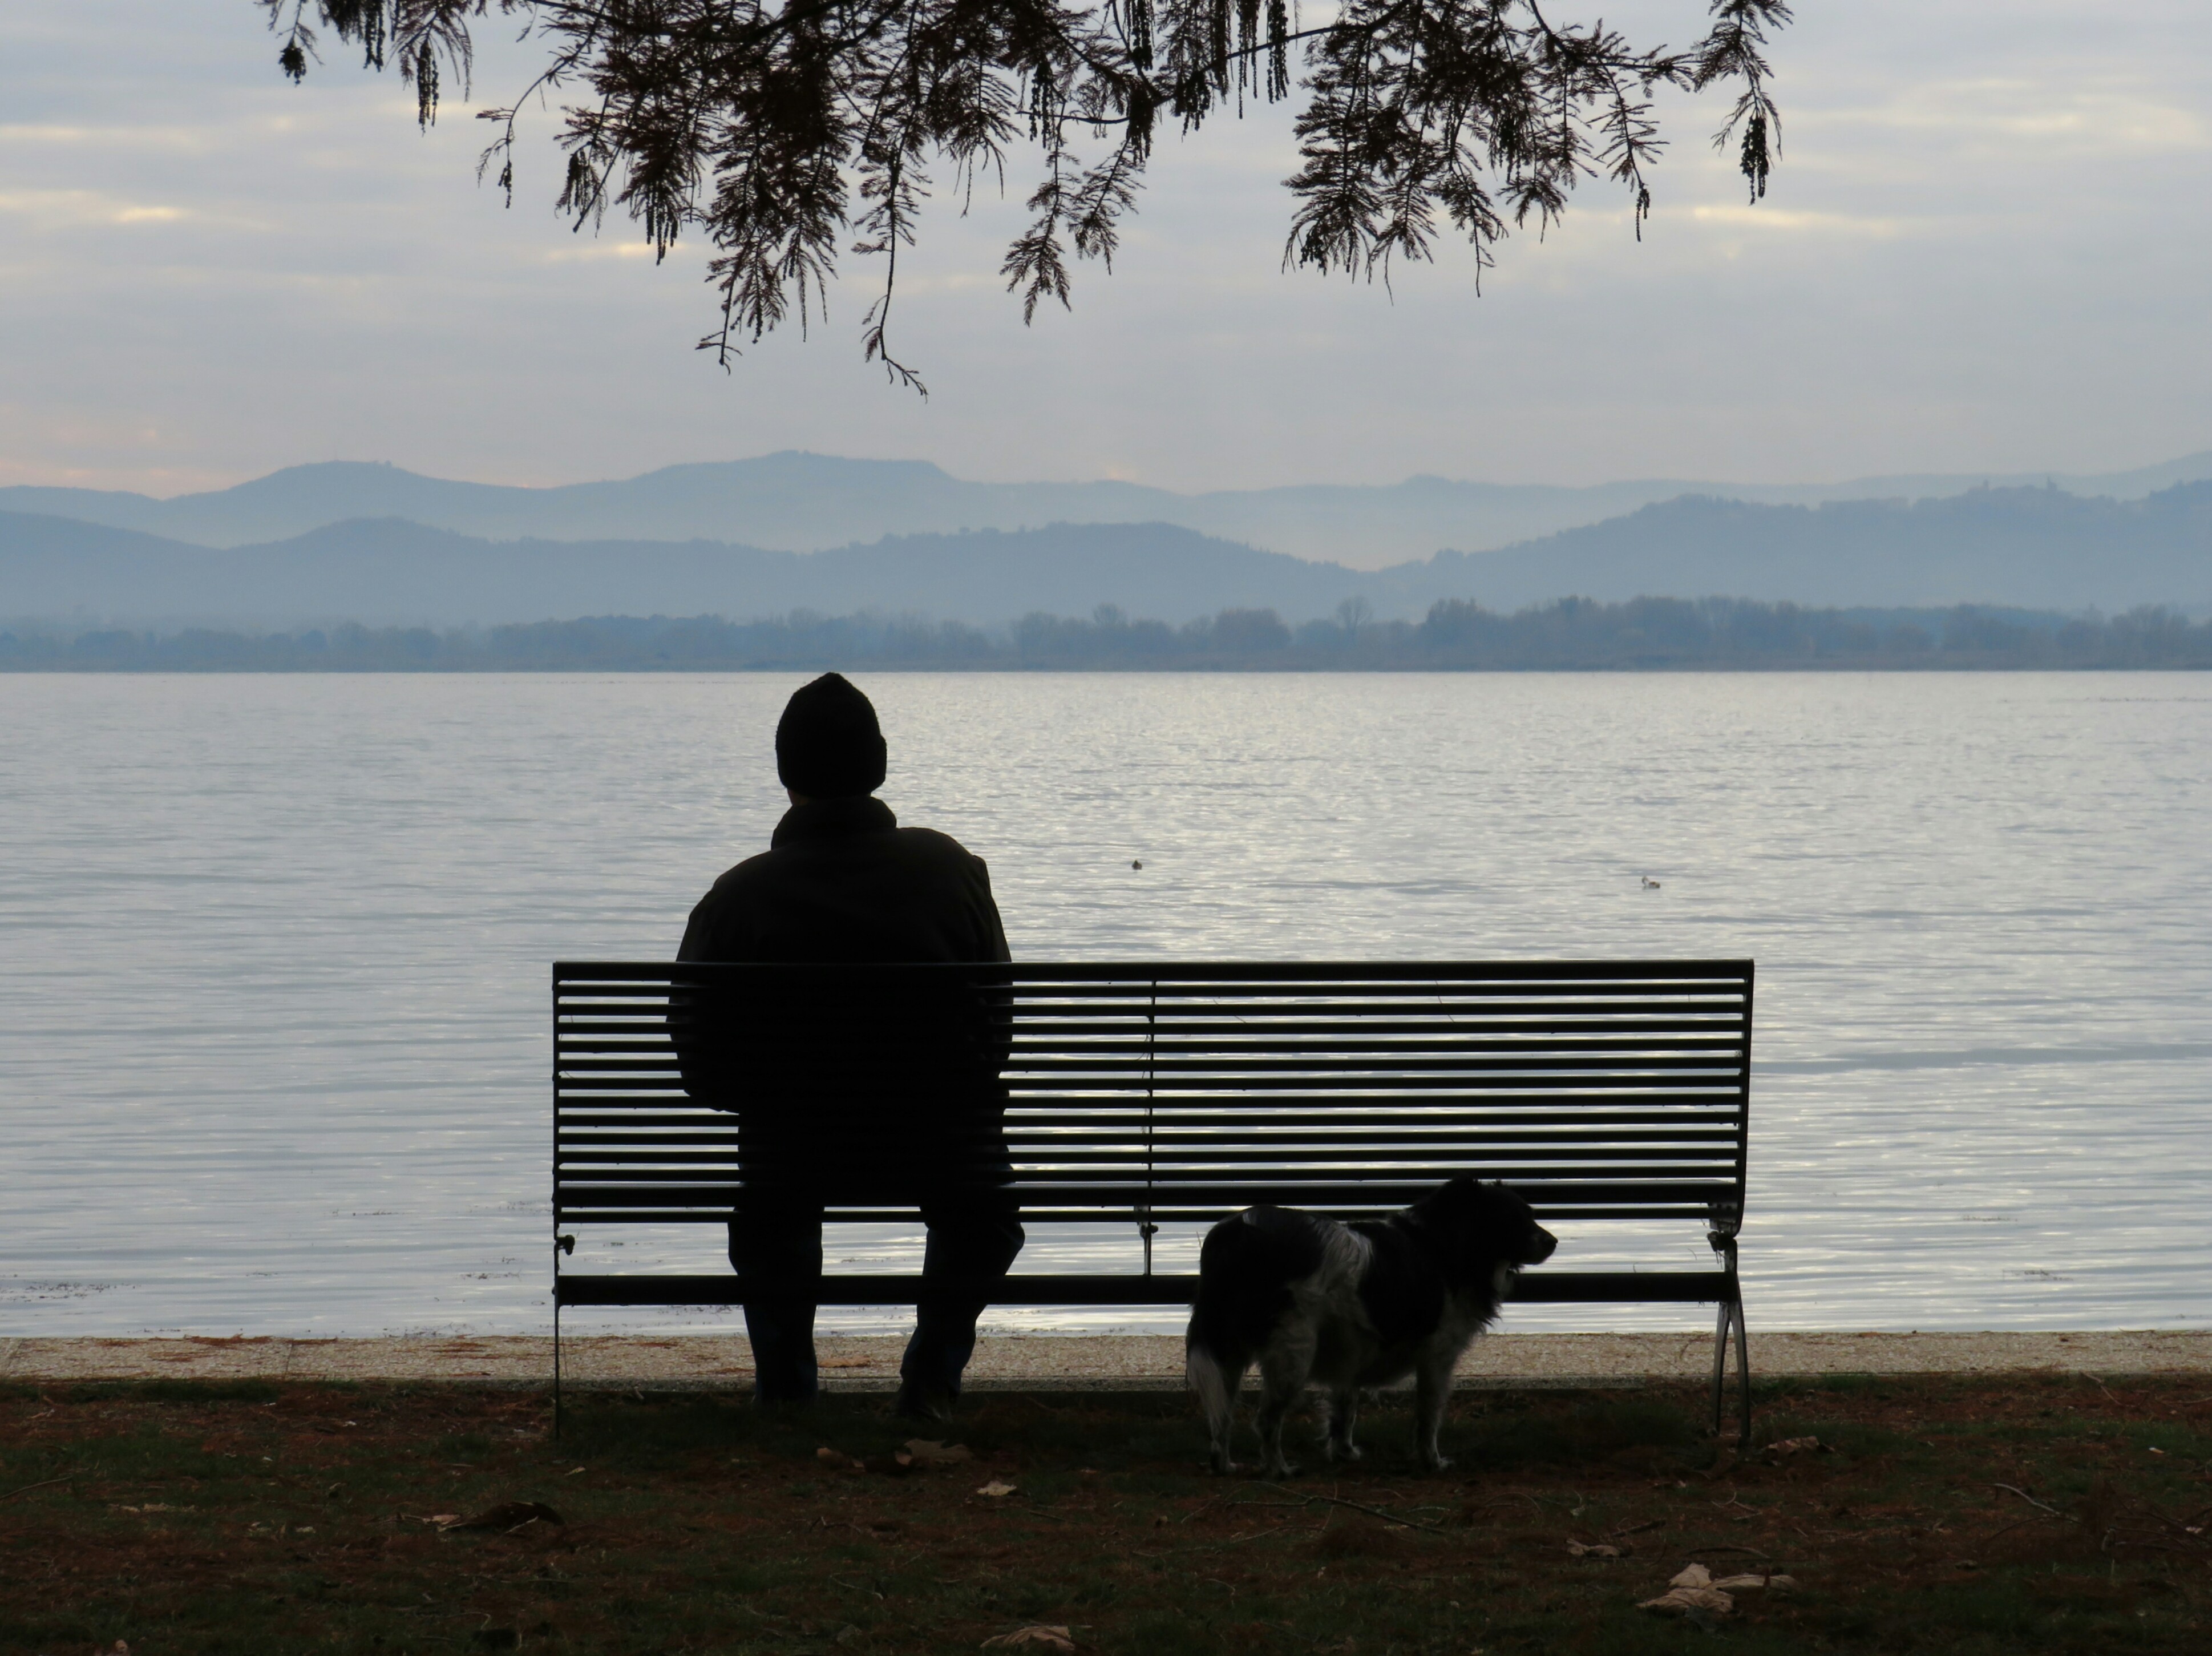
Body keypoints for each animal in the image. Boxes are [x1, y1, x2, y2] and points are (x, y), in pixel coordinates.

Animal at [1194, 1176, 1557, 1477]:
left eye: (1530, 1214)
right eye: (1514, 1219)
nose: (1553, 1241)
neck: (1445, 1244)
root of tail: (1237, 1232)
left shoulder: (1350, 1349)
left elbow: (1345, 1410)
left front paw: (1344, 1453)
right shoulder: (1437, 1356)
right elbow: (1429, 1416)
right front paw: (1432, 1462)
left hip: (1229, 1352)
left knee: (1220, 1415)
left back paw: (1224, 1465)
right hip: (1294, 1351)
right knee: (1266, 1420)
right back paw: (1278, 1469)